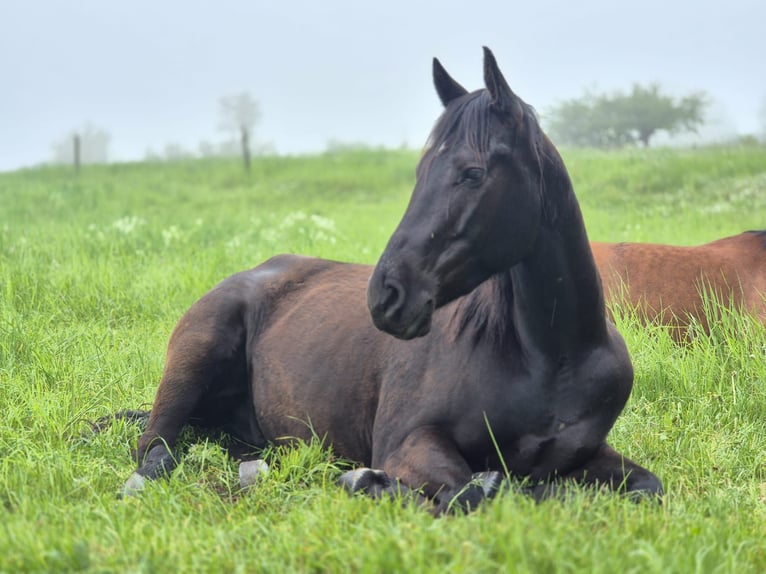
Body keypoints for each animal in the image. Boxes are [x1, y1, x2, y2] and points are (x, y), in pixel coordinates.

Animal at [122, 47, 662, 513]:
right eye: (422, 170)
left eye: (472, 173)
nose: (387, 296)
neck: (554, 359)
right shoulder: (409, 441)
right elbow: (474, 492)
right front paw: (367, 480)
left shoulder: (587, 455)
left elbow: (645, 486)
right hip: (192, 365)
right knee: (154, 452)